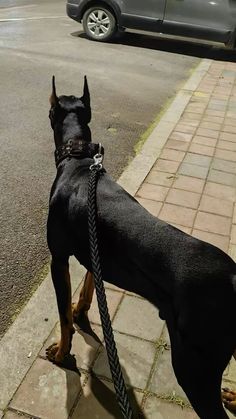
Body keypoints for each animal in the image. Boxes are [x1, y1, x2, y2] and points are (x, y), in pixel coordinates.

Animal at [46, 76, 236, 419]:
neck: (78, 160)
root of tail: (233, 279)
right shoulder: (94, 249)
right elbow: (88, 286)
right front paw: (81, 309)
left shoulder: (58, 258)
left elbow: (64, 317)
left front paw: (61, 352)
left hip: (194, 367)